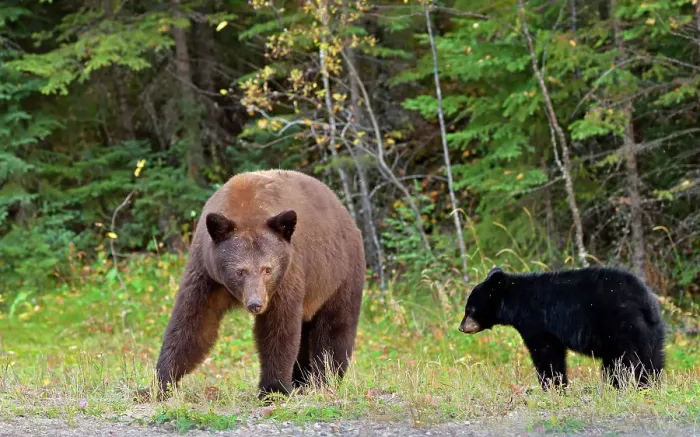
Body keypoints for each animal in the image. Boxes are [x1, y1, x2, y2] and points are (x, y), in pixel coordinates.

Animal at [153, 170, 365, 400]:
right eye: (240, 270)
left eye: (267, 269)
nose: (256, 304)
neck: (245, 205)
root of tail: (346, 214)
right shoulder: (207, 273)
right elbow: (194, 323)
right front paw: (160, 383)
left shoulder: (286, 276)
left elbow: (278, 327)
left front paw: (273, 389)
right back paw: (301, 380)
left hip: (338, 276)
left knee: (334, 328)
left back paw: (324, 380)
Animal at [458, 266, 665, 390]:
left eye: (470, 309)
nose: (461, 328)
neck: (517, 304)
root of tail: (644, 301)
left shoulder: (538, 322)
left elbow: (547, 353)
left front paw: (553, 386)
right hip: (651, 331)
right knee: (651, 359)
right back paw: (649, 386)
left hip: (619, 327)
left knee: (623, 361)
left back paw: (619, 386)